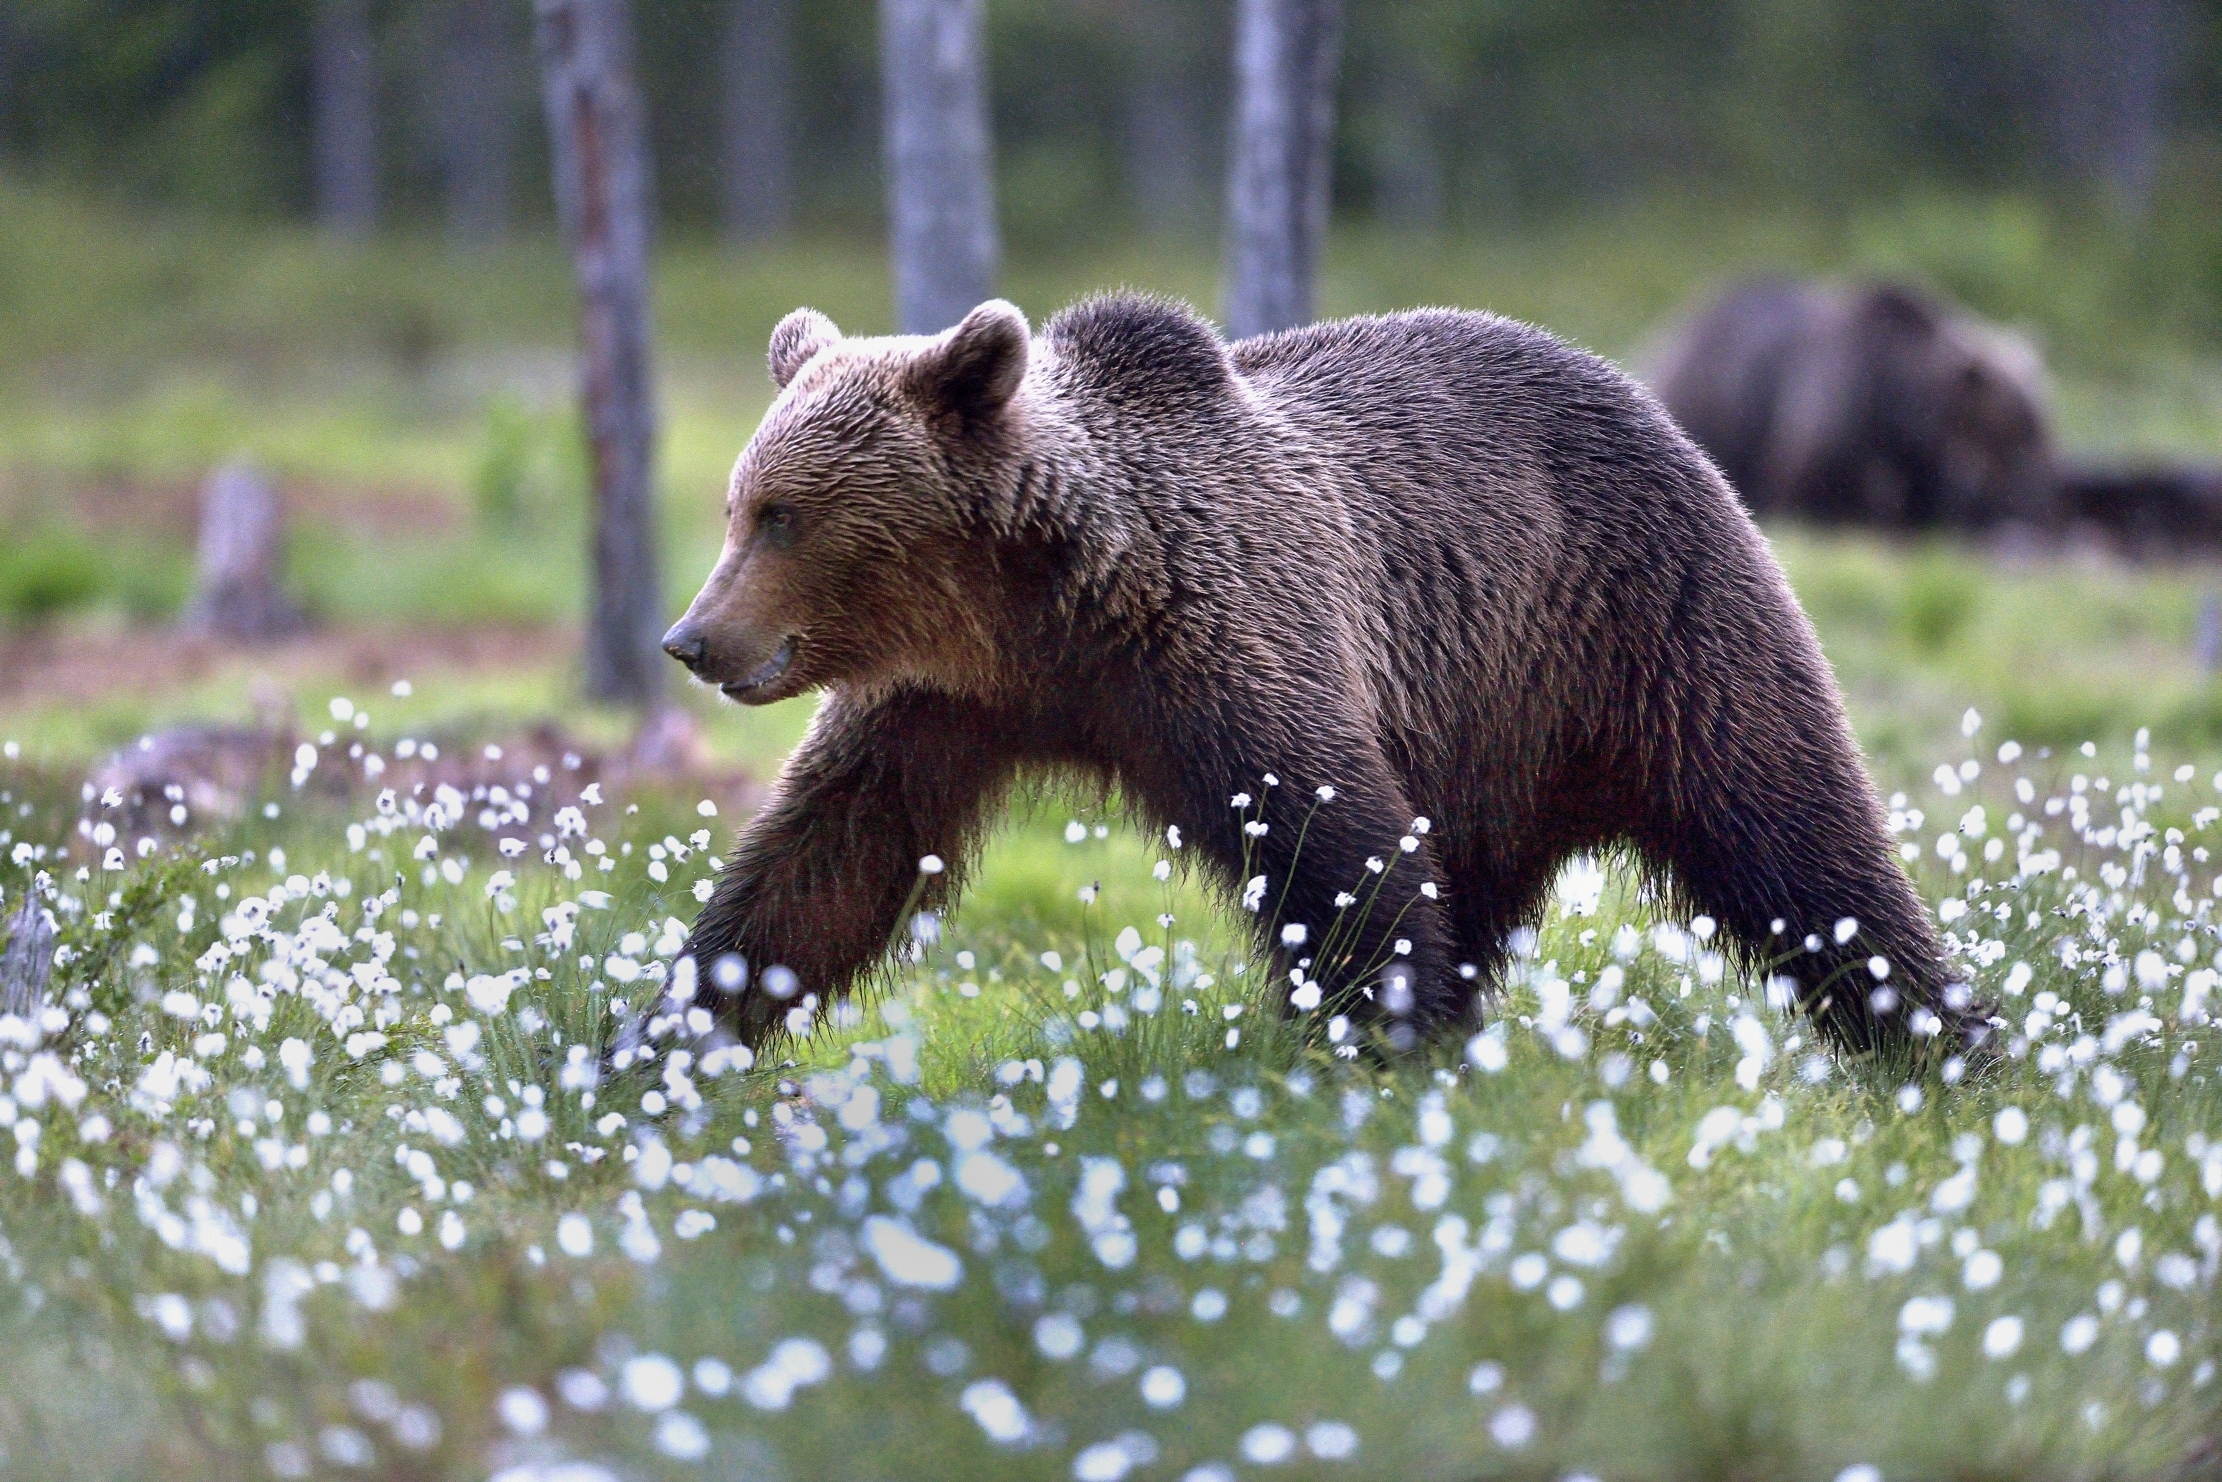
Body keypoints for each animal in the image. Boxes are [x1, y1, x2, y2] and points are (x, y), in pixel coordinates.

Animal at [655, 293, 1976, 1059]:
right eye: (736, 505)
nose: (690, 639)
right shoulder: (941, 703)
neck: (1031, 605)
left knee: (1792, 843)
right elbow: (823, 866)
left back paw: (1938, 1045)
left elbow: (1333, 851)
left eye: (780, 515)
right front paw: (666, 1041)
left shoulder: (1220, 645)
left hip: (1645, 628)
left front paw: (1371, 1039)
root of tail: (1651, 399)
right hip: (1490, 733)